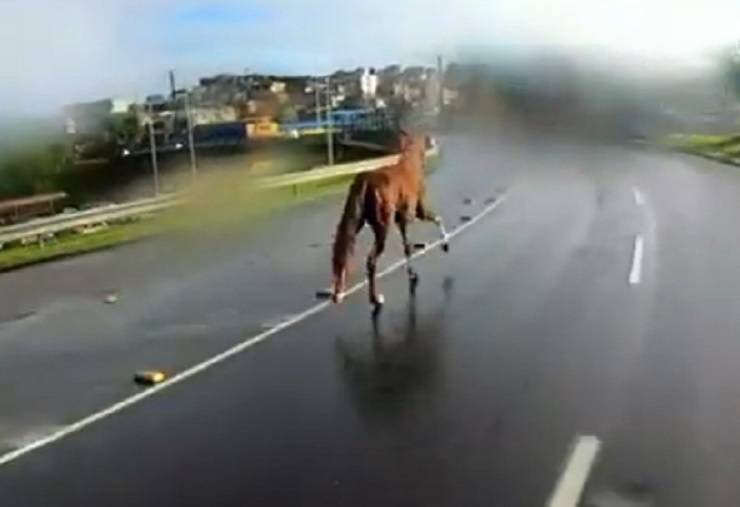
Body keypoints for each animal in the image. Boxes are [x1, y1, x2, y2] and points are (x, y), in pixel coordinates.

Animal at [330, 133, 448, 308]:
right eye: (426, 140)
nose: (434, 141)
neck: (410, 165)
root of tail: (364, 181)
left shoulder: (401, 220)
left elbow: (407, 247)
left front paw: (412, 274)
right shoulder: (418, 211)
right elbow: (438, 218)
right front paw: (445, 244)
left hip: (355, 220)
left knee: (343, 252)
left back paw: (339, 293)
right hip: (382, 226)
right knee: (371, 260)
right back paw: (375, 299)